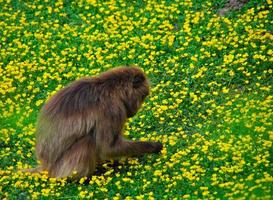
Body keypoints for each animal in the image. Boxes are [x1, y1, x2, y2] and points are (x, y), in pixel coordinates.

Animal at [33, 66, 163, 179]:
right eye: (143, 96)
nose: (135, 111)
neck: (112, 88)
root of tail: (46, 166)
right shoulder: (112, 109)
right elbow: (108, 147)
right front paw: (154, 147)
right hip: (61, 167)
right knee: (88, 140)